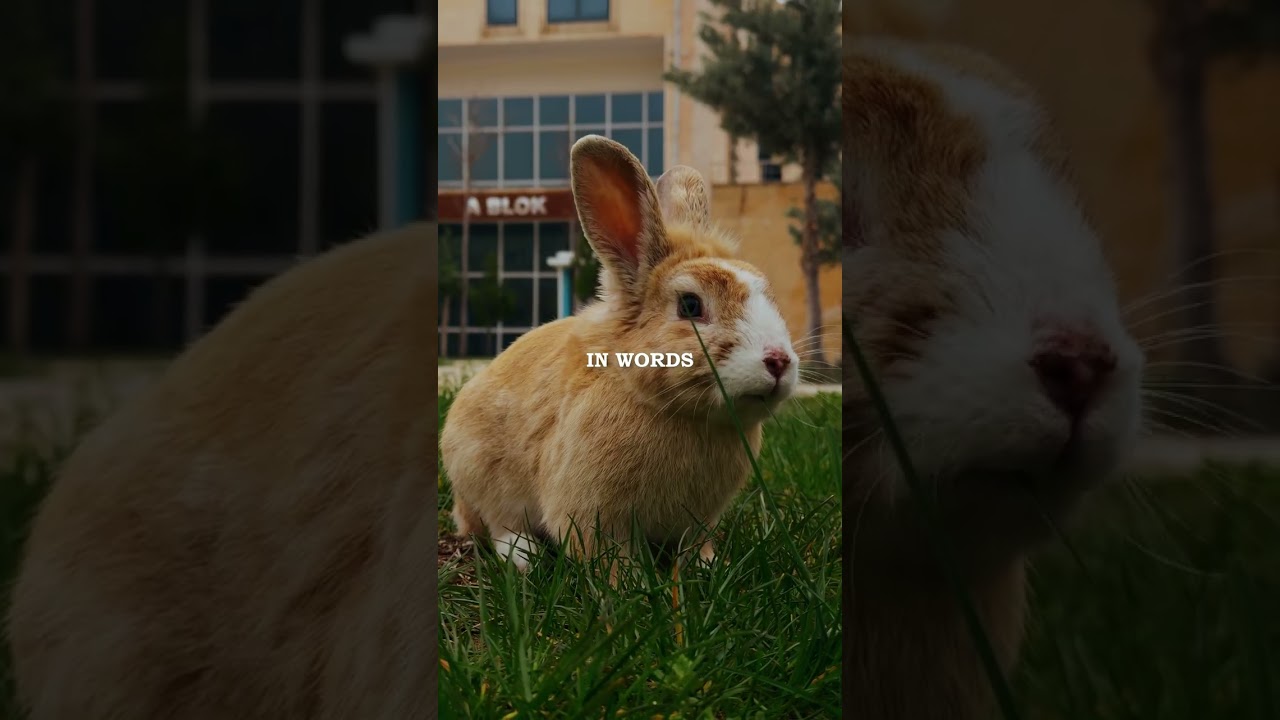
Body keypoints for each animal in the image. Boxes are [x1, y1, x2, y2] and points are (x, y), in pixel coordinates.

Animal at [439, 135, 801, 579]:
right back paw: (525, 556)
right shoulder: (591, 512)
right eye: (691, 306)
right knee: (498, 524)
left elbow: (694, 545)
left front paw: (708, 566)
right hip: (481, 473)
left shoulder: (699, 520)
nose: (779, 361)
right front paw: (627, 582)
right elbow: (606, 552)